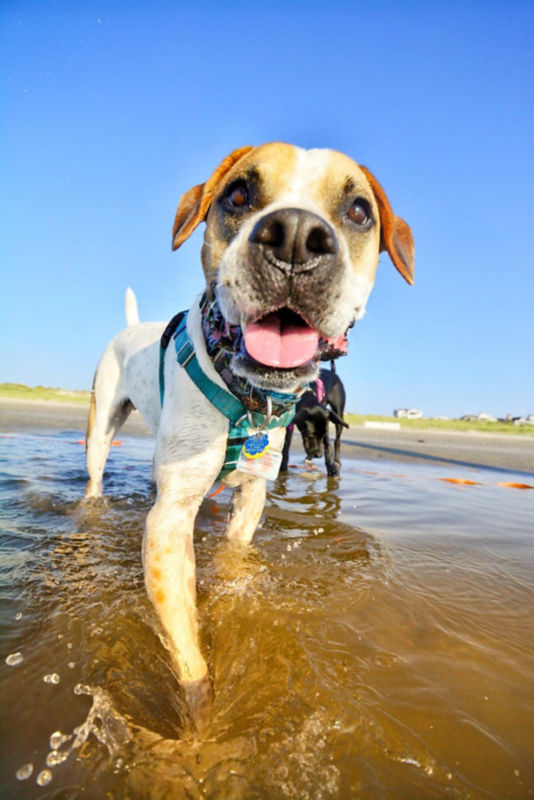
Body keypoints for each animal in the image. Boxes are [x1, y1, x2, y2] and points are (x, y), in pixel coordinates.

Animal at [85, 142, 414, 724]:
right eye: (238, 194)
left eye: (358, 211)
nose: (295, 236)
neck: (245, 396)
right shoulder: (169, 521)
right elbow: (185, 643)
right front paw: (201, 722)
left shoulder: (254, 496)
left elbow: (234, 562)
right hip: (101, 430)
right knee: (97, 475)